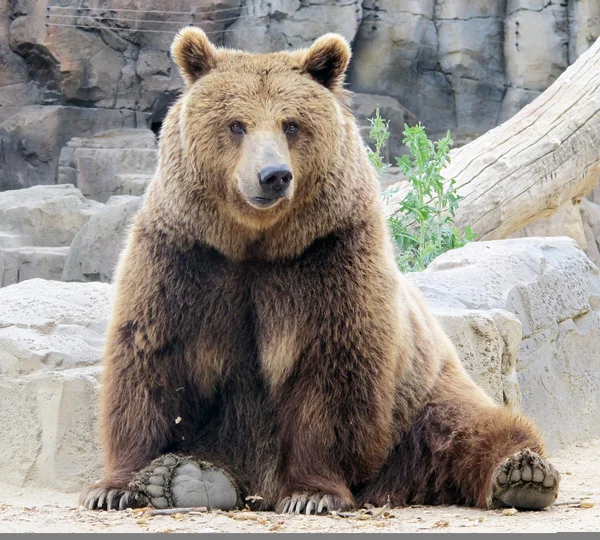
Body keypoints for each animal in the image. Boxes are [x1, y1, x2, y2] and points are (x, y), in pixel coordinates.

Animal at [79, 28, 556, 516]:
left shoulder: (326, 257)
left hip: (420, 401)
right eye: (236, 124)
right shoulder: (185, 258)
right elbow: (152, 359)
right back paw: (185, 478)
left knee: (465, 429)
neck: (255, 243)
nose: (273, 175)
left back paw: (522, 473)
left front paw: (312, 494)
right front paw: (116, 486)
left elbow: (331, 373)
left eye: (291, 124)